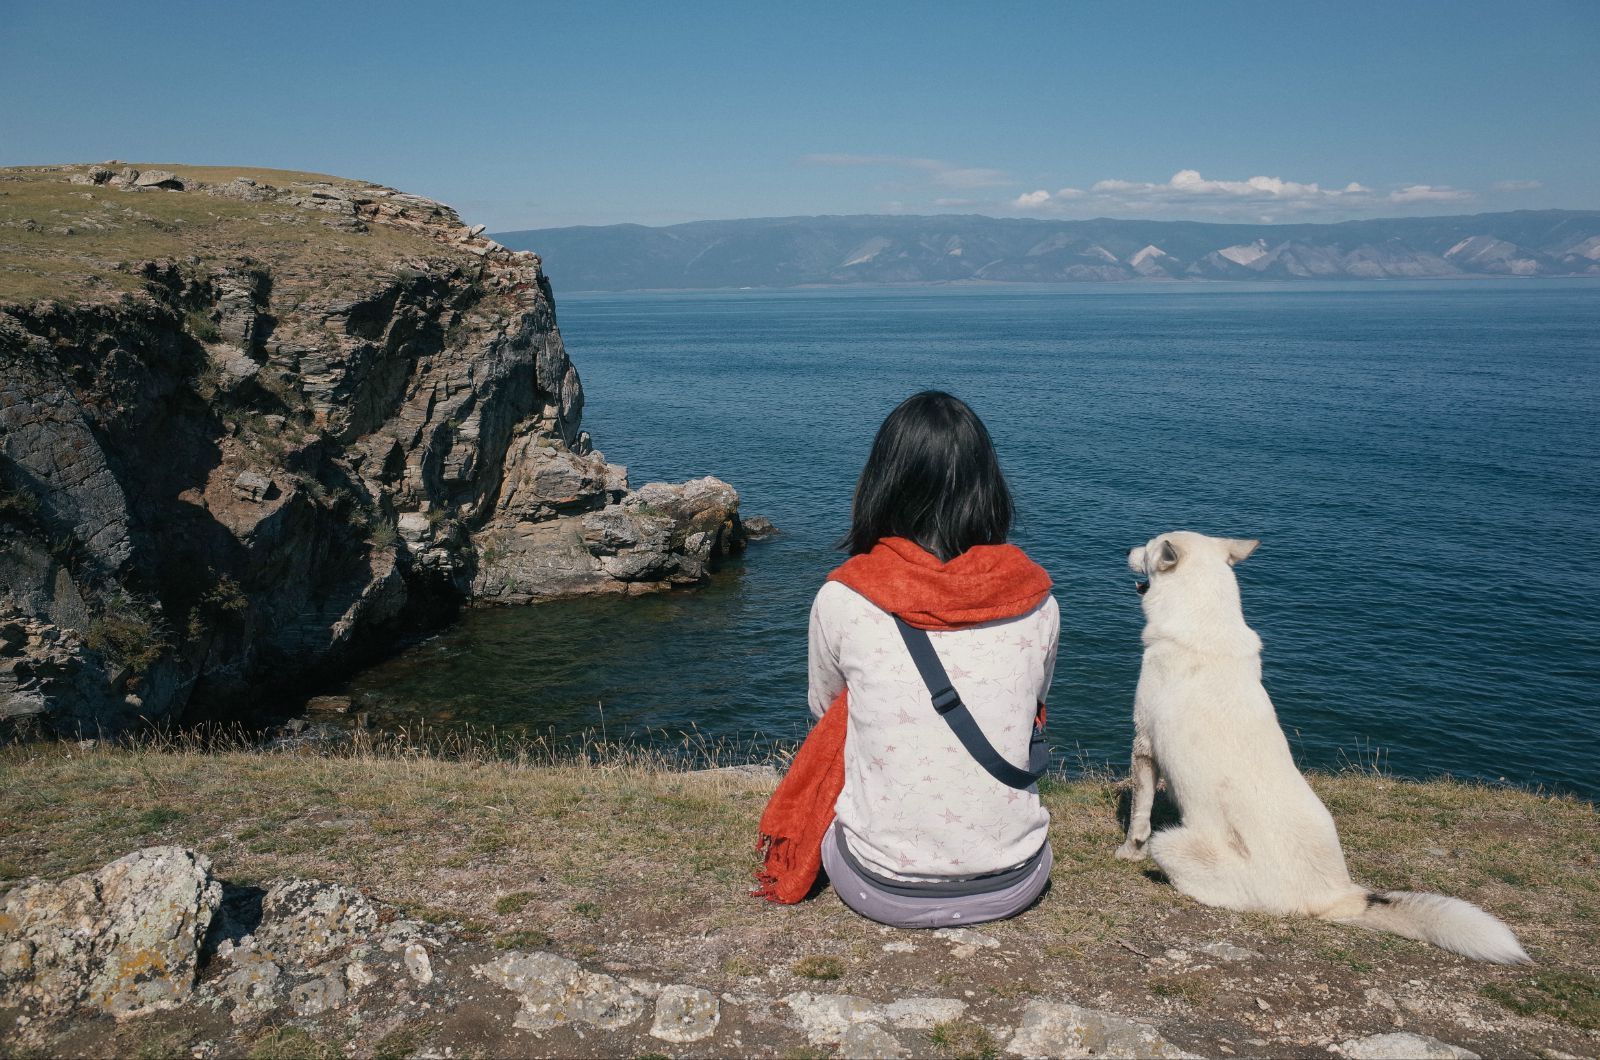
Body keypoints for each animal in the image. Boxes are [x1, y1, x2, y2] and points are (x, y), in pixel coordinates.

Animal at [1120, 534, 1529, 967]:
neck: (1205, 622)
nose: (1126, 550)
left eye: (1147, 548)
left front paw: (1127, 852)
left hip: (1174, 845)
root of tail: (1337, 896)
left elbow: (1140, 816)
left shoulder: (1144, 745)